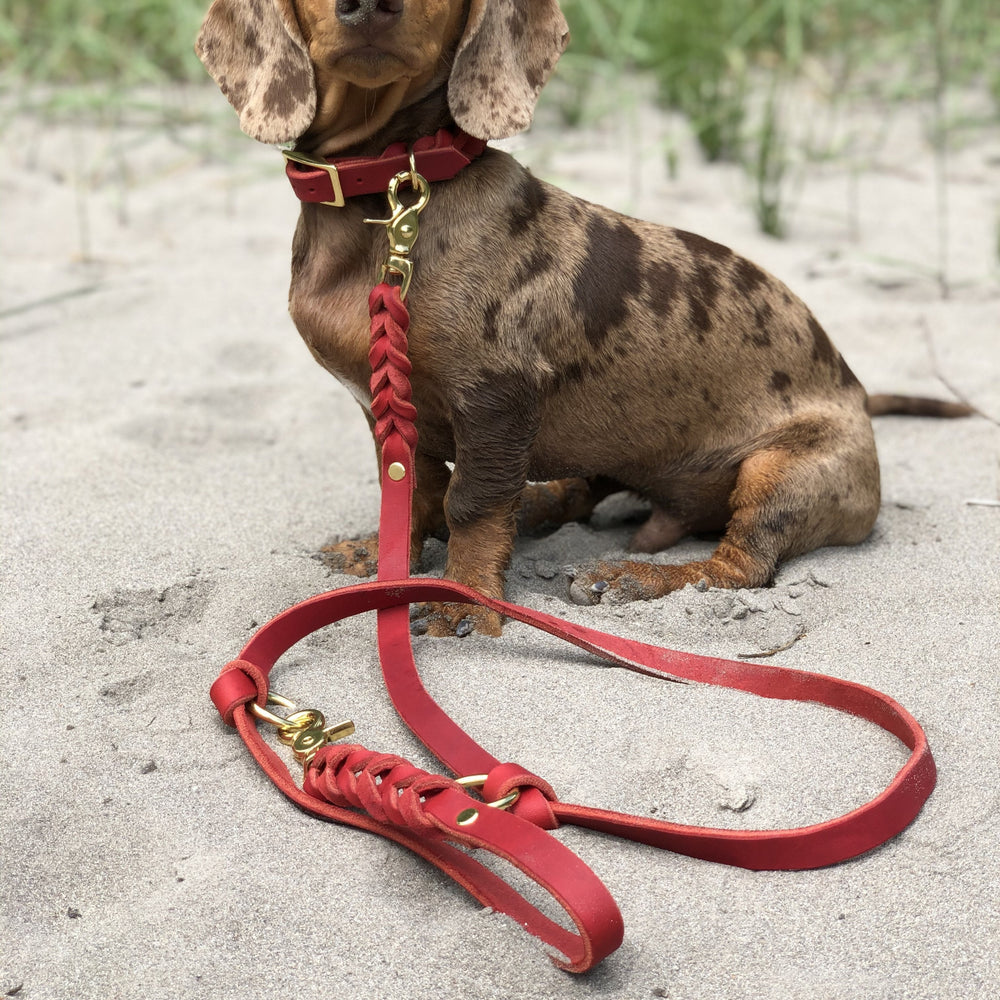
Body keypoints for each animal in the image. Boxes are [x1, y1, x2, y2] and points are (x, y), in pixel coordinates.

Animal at [195, 0, 968, 636]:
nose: (371, 4)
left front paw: (463, 599)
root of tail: (859, 394)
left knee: (738, 566)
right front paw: (389, 559)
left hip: (782, 470)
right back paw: (544, 507)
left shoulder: (498, 395)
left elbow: (473, 500)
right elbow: (415, 494)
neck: (388, 194)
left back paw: (641, 577)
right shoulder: (390, 411)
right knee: (582, 490)